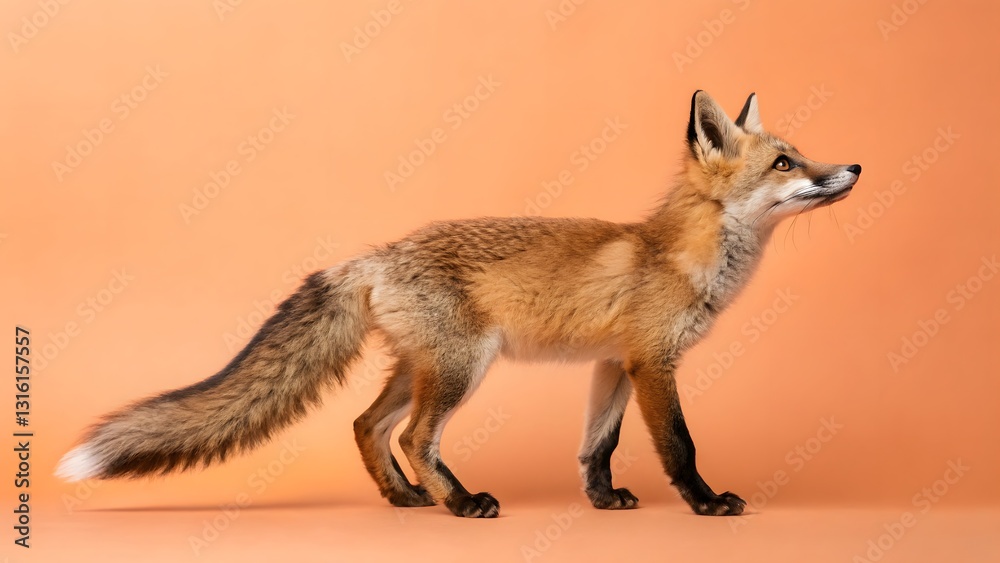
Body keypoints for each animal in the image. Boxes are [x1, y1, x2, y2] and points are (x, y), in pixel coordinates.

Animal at [57, 91, 861, 518]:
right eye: (785, 162)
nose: (853, 166)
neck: (682, 256)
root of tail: (377, 253)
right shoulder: (652, 363)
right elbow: (681, 445)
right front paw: (706, 503)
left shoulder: (613, 364)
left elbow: (595, 447)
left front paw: (602, 501)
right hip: (460, 369)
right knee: (417, 437)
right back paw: (460, 500)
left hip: (419, 369)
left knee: (366, 425)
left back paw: (407, 498)